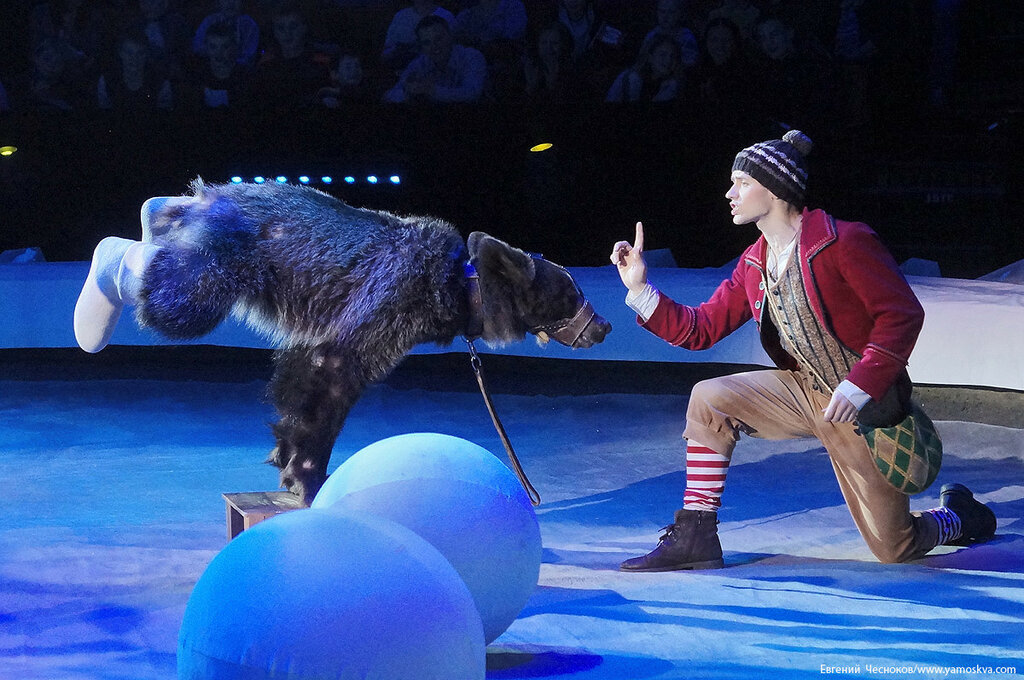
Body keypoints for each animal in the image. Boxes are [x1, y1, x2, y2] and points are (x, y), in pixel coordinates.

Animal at [75, 180, 614, 503]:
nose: (605, 325)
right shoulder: (389, 301)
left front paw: (287, 457)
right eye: (571, 293)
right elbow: (332, 376)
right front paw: (309, 478)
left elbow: (297, 379)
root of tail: (207, 198)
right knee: (170, 296)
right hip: (217, 262)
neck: (461, 286)